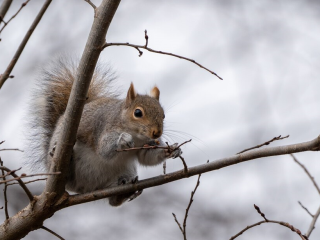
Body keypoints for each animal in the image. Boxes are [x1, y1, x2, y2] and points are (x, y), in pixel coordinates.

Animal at [27, 58, 181, 206]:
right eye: (138, 113)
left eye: (163, 115)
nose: (157, 133)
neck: (137, 136)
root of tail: (88, 188)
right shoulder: (104, 128)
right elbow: (104, 150)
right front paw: (123, 139)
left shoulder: (146, 144)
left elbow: (147, 157)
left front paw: (172, 149)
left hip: (125, 170)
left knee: (113, 201)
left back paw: (123, 192)